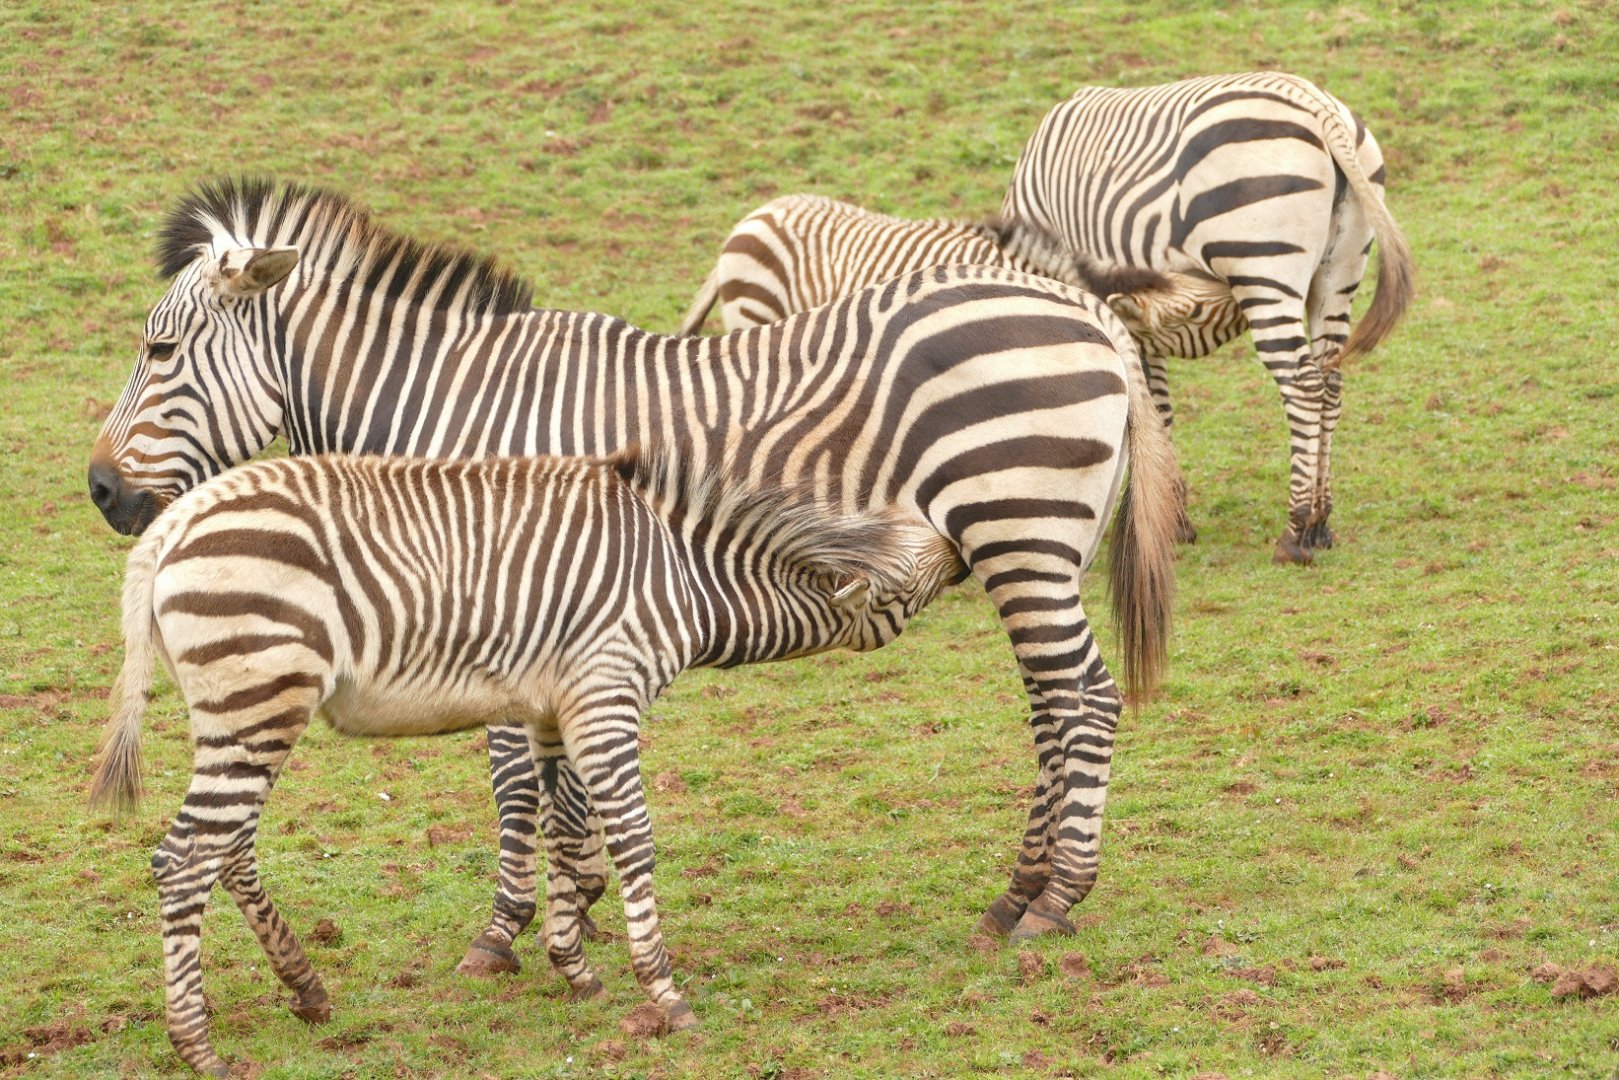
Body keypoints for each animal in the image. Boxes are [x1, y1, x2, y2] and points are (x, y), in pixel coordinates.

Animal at [88, 179, 1178, 998]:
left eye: (160, 350)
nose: (100, 491)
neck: (459, 409)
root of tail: (1084, 311)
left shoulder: (513, 594)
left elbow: (518, 781)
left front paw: (513, 929)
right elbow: (555, 777)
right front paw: (579, 907)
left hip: (1019, 530)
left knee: (1082, 696)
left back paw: (1053, 898)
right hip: (1034, 548)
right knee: (1052, 704)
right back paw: (1016, 893)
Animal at [88, 446, 966, 1073]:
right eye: (907, 579)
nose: (962, 550)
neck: (683, 575)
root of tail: (172, 525)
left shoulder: (554, 706)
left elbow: (568, 836)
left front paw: (573, 965)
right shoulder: (606, 694)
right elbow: (631, 840)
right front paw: (664, 993)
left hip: (240, 711)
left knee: (227, 850)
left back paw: (306, 988)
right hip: (257, 699)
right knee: (183, 860)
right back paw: (198, 1046)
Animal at [1002, 71, 1416, 563]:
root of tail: (1316, 103)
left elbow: (1148, 404)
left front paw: (1167, 518)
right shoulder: (1138, 313)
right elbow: (1156, 403)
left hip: (1261, 264)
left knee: (1302, 384)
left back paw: (1295, 531)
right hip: (1341, 268)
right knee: (1331, 382)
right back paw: (1320, 522)